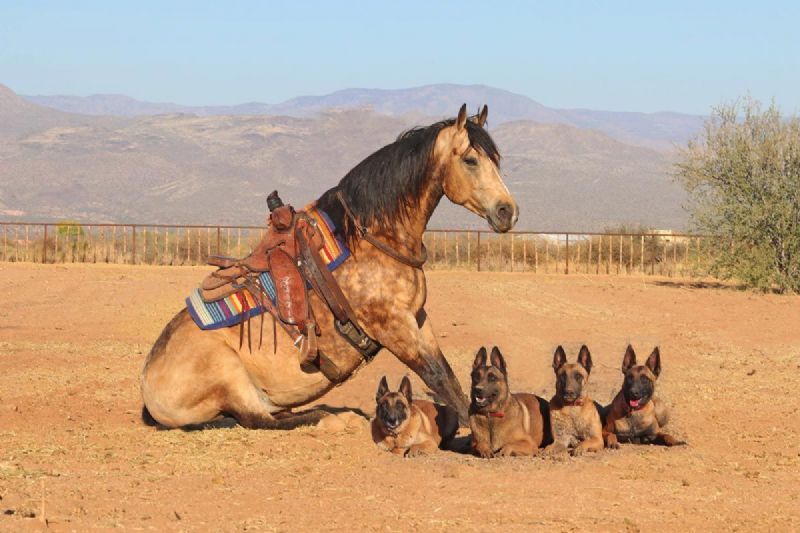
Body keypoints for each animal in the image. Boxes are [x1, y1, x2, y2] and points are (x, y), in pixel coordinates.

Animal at [140, 104, 518, 429]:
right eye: (470, 160)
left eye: (496, 160)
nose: (507, 211)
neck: (372, 238)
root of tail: (148, 387)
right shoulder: (393, 327)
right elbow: (438, 377)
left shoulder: (417, 319)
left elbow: (449, 375)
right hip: (229, 373)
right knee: (257, 418)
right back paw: (331, 417)